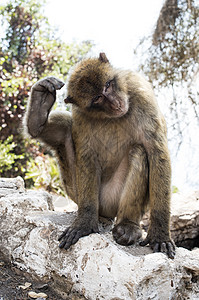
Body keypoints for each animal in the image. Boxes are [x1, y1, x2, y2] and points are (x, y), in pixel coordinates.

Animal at [25, 53, 176, 258]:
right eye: (97, 98)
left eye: (108, 85)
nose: (116, 103)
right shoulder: (80, 113)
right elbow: (87, 156)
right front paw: (85, 223)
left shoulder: (140, 91)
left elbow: (156, 153)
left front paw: (160, 234)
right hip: (81, 194)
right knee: (65, 128)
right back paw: (38, 114)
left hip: (112, 199)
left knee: (139, 152)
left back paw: (128, 225)